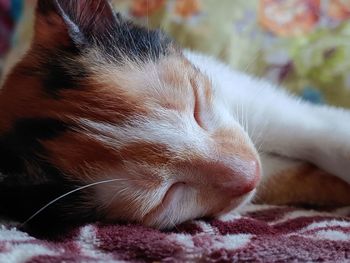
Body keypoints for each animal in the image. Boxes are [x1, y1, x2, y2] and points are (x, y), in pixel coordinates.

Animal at [0, 0, 350, 235]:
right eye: (168, 195)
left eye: (195, 104)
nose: (251, 172)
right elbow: (296, 177)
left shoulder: (242, 93)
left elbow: (305, 127)